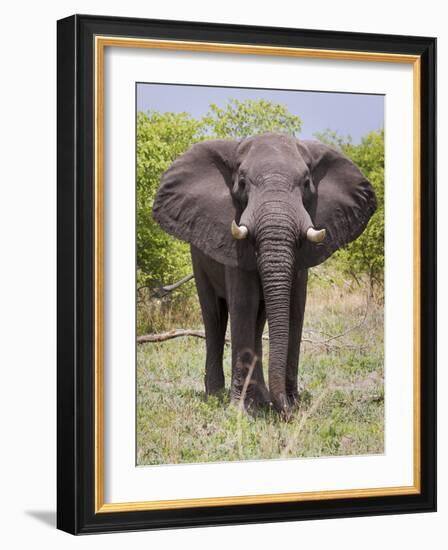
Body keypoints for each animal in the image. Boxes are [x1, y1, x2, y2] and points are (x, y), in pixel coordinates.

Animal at [152, 134, 376, 416]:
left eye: (306, 183)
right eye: (242, 182)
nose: (286, 411)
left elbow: (294, 308)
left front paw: (289, 404)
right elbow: (243, 305)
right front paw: (240, 411)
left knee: (258, 322)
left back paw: (260, 398)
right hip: (198, 258)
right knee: (214, 316)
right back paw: (216, 396)